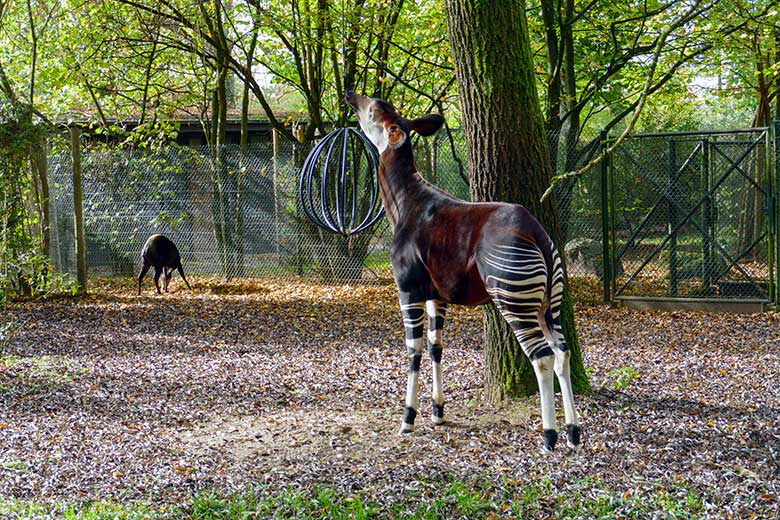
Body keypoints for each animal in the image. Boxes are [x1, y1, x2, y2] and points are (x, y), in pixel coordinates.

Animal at [346, 89, 580, 450]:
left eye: (371, 109)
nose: (348, 95)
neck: (404, 202)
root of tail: (536, 231)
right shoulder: (436, 296)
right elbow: (435, 347)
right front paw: (438, 413)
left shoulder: (408, 290)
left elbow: (413, 350)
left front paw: (408, 419)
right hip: (548, 303)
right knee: (562, 352)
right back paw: (572, 432)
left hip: (514, 300)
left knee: (542, 357)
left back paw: (549, 435)